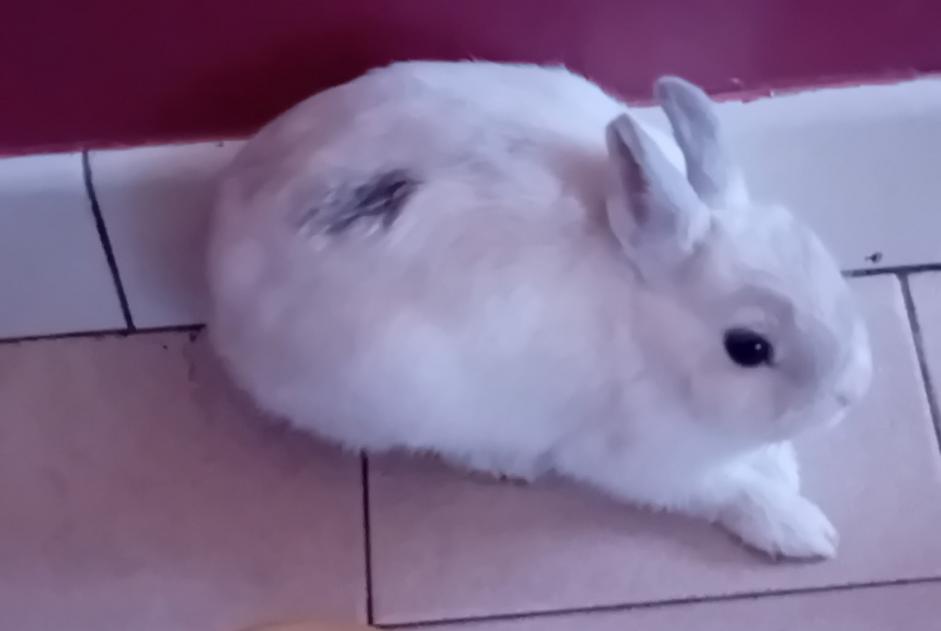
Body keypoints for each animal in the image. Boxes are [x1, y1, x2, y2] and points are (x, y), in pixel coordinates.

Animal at [206, 60, 872, 560]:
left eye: (823, 256)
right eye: (748, 348)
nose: (849, 395)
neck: (647, 326)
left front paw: (783, 468)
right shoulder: (647, 463)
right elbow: (728, 491)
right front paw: (802, 529)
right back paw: (506, 462)